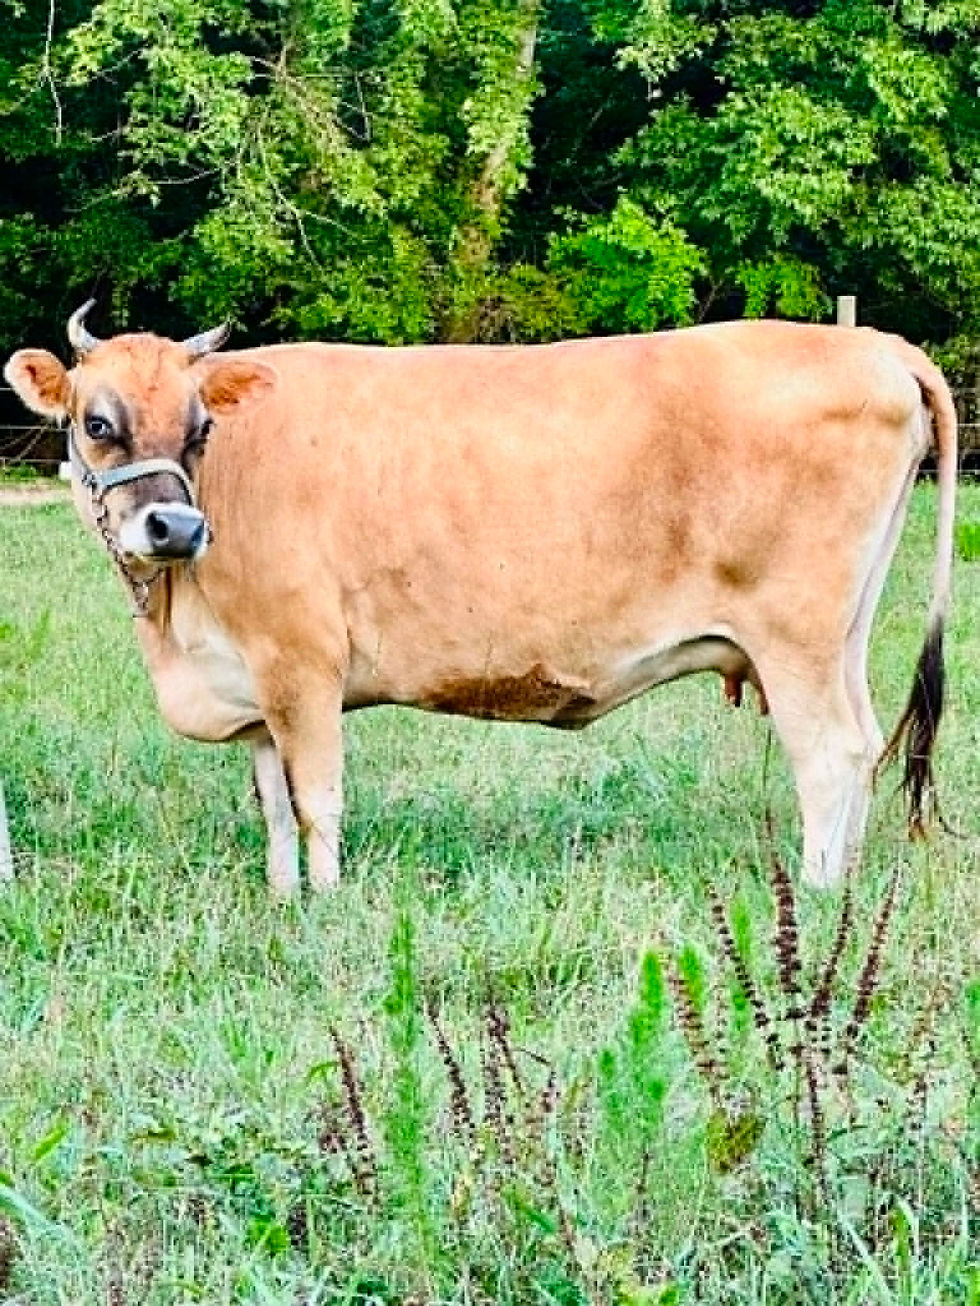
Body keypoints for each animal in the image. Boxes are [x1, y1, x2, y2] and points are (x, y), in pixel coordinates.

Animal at [4, 305, 957, 896]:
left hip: (795, 637)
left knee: (829, 753)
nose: (173, 527)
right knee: (865, 742)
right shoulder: (256, 683)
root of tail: (874, 345)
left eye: (200, 428)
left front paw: (324, 907)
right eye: (97, 422)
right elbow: (273, 804)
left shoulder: (302, 663)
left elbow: (318, 801)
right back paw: (850, 882)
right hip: (845, 635)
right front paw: (281, 900)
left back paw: (818, 892)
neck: (180, 627)